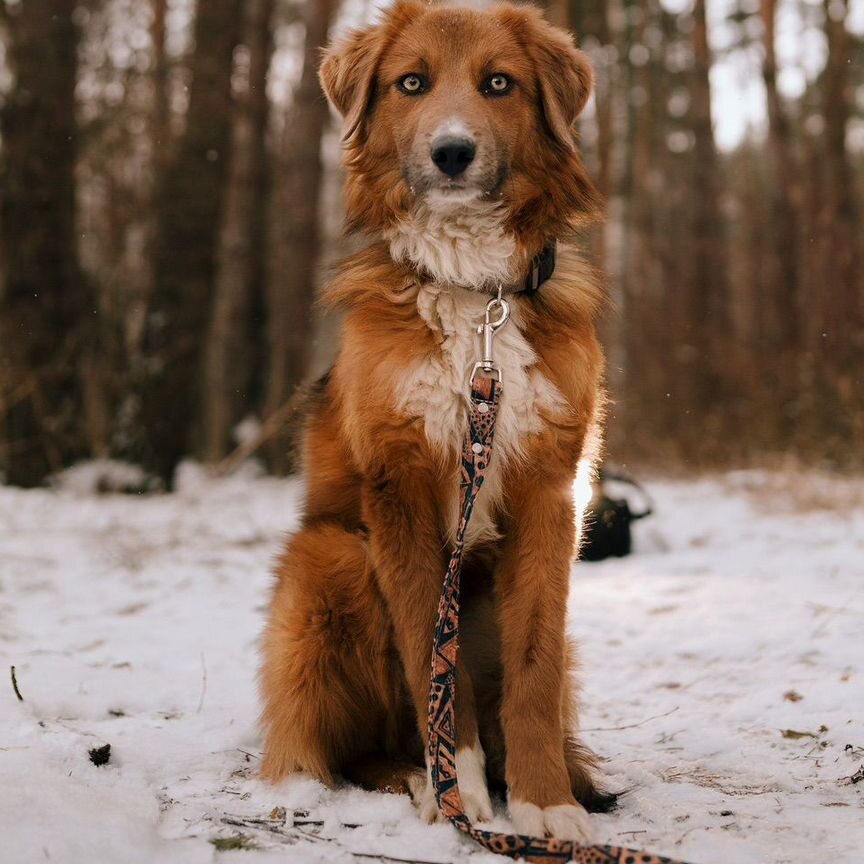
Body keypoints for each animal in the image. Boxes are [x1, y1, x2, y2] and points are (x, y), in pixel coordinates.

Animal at [260, 1, 612, 844]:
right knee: (349, 746)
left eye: (500, 83)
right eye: (411, 83)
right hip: (332, 556)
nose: (452, 153)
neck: (475, 297)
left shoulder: (551, 493)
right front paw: (466, 792)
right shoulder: (402, 491)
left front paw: (545, 800)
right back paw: (402, 783)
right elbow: (429, 654)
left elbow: (532, 667)